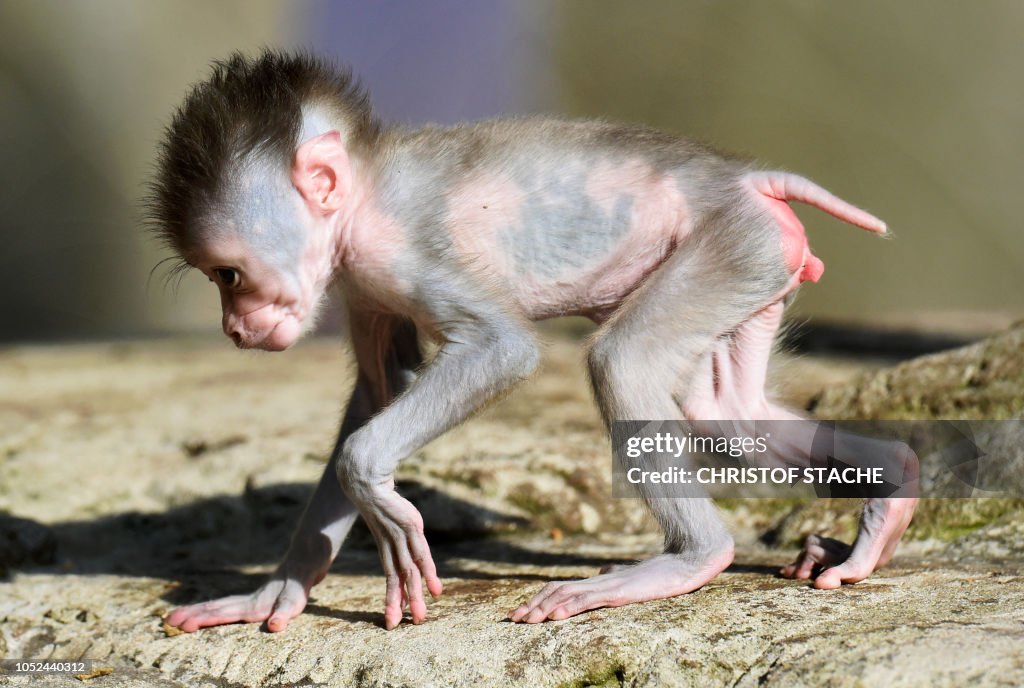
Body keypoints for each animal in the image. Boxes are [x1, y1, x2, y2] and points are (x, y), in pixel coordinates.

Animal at [150, 51, 916, 633]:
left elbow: (499, 350)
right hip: (760, 263)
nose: (235, 326)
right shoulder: (361, 288)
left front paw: (373, 488)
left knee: (625, 362)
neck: (361, 198)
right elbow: (378, 392)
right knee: (727, 417)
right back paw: (892, 492)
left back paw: (691, 559)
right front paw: (278, 590)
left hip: (732, 243)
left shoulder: (394, 254)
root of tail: (743, 177)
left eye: (229, 274)